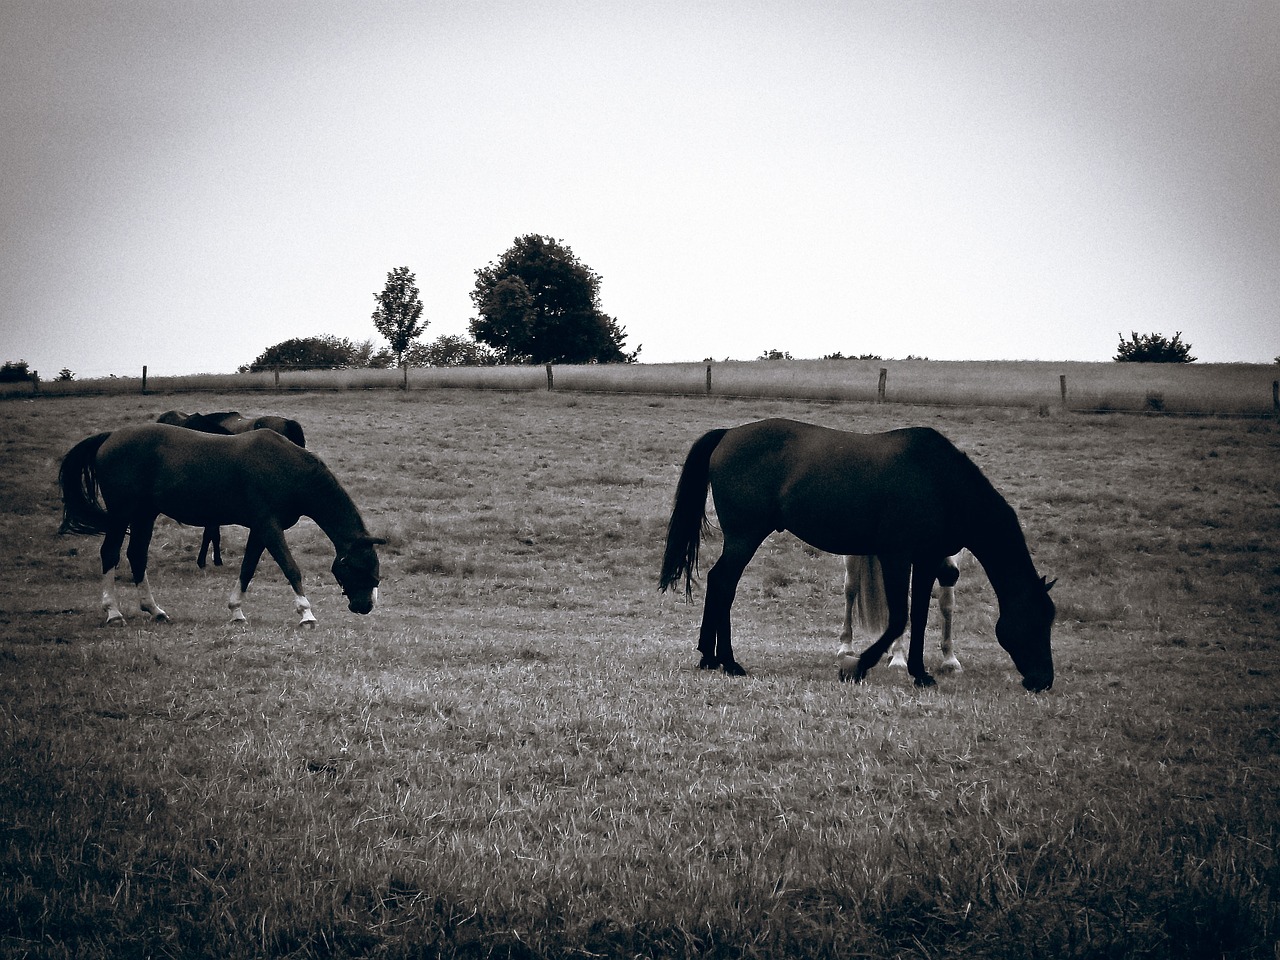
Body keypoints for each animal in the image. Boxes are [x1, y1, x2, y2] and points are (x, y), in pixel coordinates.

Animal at [58, 424, 384, 627]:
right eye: (358, 568)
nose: (365, 606)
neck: (285, 468)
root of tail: (110, 436)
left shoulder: (260, 529)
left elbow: (247, 568)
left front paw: (236, 611)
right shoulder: (269, 526)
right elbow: (290, 567)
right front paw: (306, 614)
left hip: (144, 515)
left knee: (136, 555)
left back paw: (155, 610)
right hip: (122, 514)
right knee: (110, 553)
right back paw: (113, 612)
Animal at [834, 547, 962, 675]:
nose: (949, 573)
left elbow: (946, 603)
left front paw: (950, 661)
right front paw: (898, 660)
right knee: (850, 588)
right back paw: (846, 648)